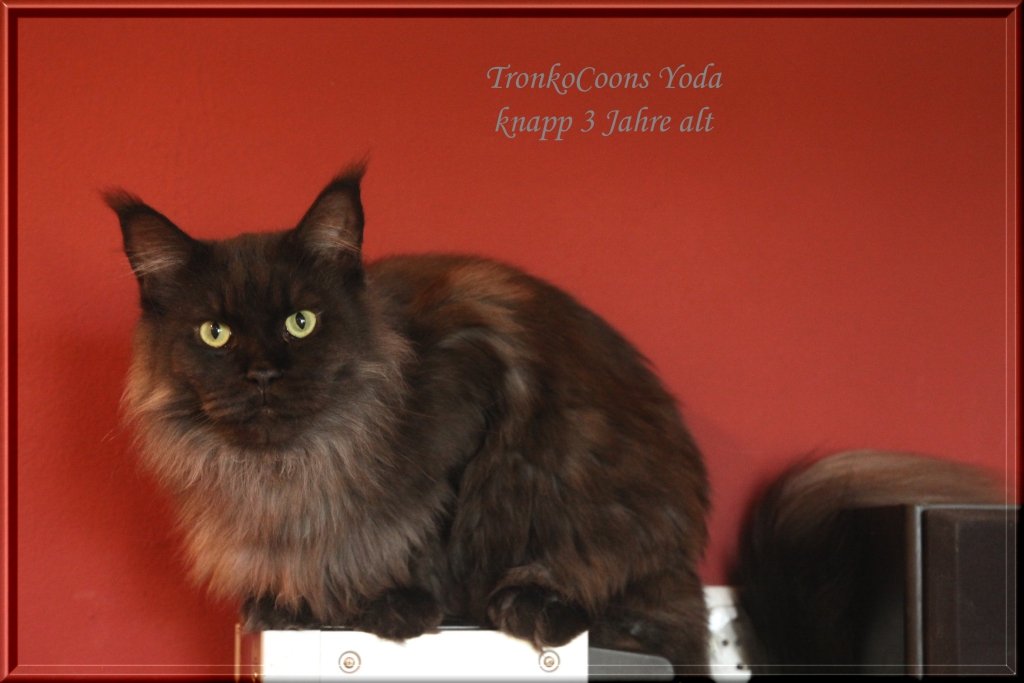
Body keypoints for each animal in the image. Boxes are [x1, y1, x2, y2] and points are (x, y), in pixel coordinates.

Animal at [108, 164, 713, 674]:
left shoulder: (471, 413)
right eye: (215, 333)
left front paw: (397, 602)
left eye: (301, 322)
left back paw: (534, 604)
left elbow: (428, 531)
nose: (261, 374)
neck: (293, 467)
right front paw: (292, 604)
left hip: (566, 478)